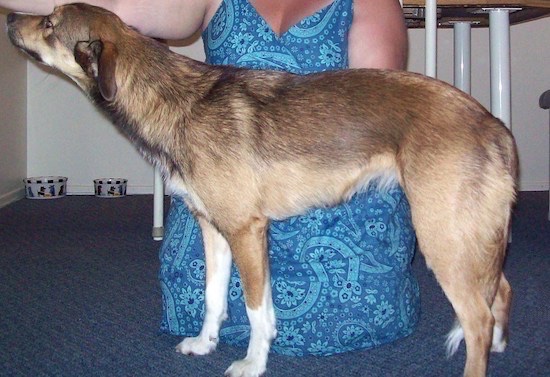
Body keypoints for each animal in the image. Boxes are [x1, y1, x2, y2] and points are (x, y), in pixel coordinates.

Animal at [6, 3, 520, 376]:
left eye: (50, 23)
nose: (10, 17)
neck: (173, 100)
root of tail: (490, 123)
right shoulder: (215, 230)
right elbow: (214, 299)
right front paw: (205, 343)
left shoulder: (247, 232)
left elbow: (257, 311)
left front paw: (252, 364)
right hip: (471, 238)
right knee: (500, 293)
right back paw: (500, 345)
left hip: (442, 237)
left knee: (478, 319)